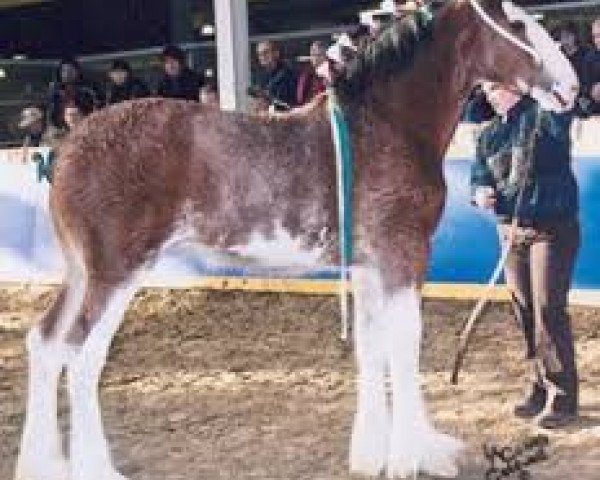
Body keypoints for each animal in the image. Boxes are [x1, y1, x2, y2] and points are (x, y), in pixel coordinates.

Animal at [14, 0, 576, 480]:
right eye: (518, 24)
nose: (571, 88)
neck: (384, 125)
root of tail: (64, 150)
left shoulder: (368, 266)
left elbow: (371, 347)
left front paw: (372, 454)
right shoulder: (403, 256)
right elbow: (404, 344)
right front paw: (412, 456)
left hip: (82, 273)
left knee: (46, 343)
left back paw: (43, 464)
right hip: (116, 273)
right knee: (82, 356)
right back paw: (95, 468)